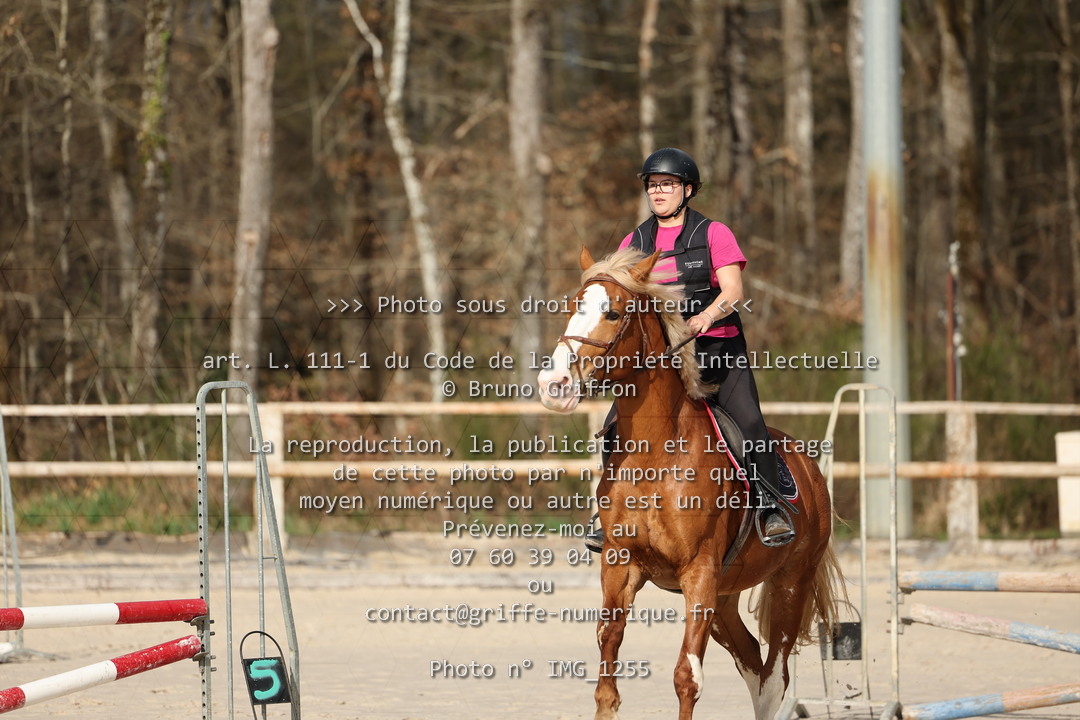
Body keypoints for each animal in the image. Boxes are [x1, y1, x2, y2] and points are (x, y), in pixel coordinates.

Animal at [536, 247, 843, 720]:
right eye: (573, 306)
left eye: (614, 313)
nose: (554, 385)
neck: (656, 455)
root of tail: (809, 467)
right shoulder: (620, 564)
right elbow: (607, 667)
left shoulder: (699, 572)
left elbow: (687, 677)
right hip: (725, 597)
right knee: (753, 666)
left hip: (791, 582)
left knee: (775, 677)